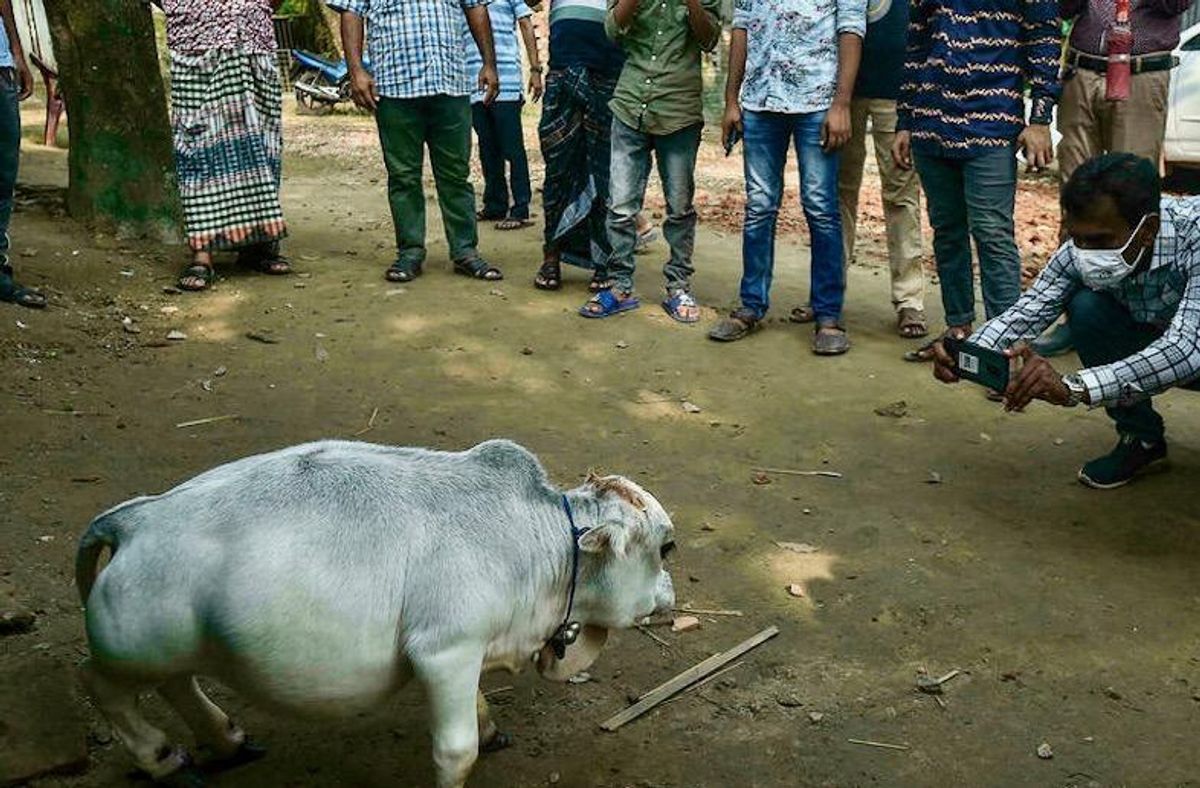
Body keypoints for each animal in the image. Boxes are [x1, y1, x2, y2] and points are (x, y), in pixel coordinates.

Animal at [75, 439, 677, 787]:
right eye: (667, 548)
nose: (670, 594)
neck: (541, 539)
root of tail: (131, 519)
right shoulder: (446, 649)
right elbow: (456, 751)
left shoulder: (463, 653)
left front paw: (489, 725)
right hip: (132, 653)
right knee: (100, 686)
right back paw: (158, 755)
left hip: (176, 647)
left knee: (177, 683)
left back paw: (226, 738)